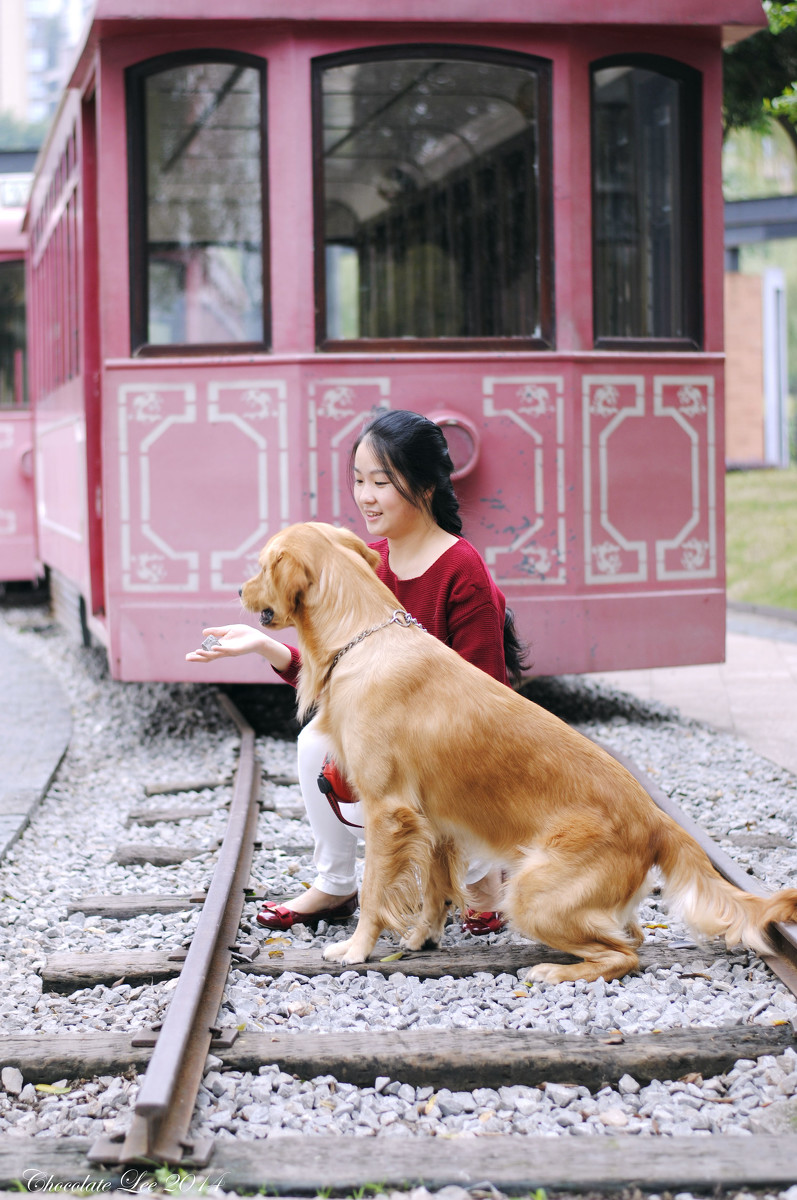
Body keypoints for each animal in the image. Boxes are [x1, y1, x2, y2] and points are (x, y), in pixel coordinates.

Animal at [240, 520, 797, 979]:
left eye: (262, 564)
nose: (239, 588)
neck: (361, 634)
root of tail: (656, 820)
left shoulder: (387, 811)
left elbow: (376, 890)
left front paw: (356, 949)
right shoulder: (433, 819)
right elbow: (435, 889)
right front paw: (423, 938)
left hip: (530, 895)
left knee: (624, 954)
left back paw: (554, 971)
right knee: (632, 936)